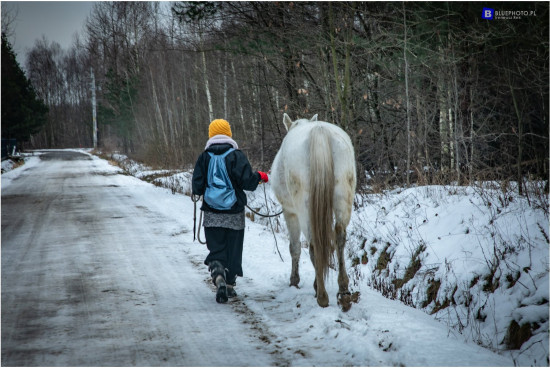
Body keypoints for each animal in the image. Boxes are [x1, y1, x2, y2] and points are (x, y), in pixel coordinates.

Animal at [272, 113, 358, 310]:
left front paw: (294, 280)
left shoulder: (289, 212)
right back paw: (343, 290)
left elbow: (294, 248)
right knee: (339, 236)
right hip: (343, 196)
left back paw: (321, 295)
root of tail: (320, 132)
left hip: (304, 208)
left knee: (313, 244)